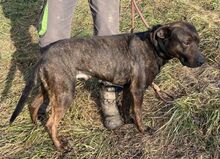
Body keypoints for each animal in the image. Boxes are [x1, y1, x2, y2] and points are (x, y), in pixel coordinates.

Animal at [9, 21, 205, 150]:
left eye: (198, 41)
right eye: (186, 42)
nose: (202, 61)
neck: (153, 46)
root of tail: (44, 55)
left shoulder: (128, 88)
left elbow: (126, 106)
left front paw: (127, 121)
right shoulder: (138, 89)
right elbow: (138, 112)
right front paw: (142, 129)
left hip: (51, 88)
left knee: (34, 103)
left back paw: (36, 124)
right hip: (65, 93)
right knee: (51, 123)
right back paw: (59, 145)